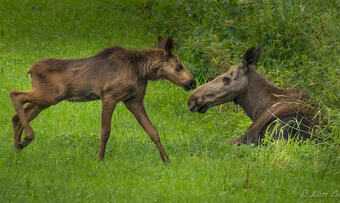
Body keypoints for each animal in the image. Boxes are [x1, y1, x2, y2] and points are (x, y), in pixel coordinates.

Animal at [10, 36, 195, 163]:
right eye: (179, 67)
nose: (192, 82)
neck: (142, 71)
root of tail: (30, 70)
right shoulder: (109, 96)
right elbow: (105, 132)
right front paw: (100, 159)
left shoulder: (134, 101)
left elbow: (152, 131)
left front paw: (167, 160)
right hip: (50, 95)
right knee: (15, 94)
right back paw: (27, 139)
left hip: (46, 101)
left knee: (16, 116)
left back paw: (17, 147)